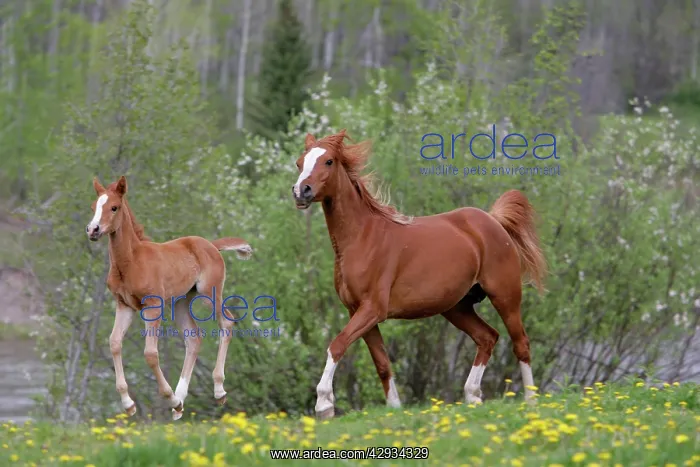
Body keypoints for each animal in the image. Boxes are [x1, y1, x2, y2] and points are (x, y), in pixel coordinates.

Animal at [86, 176, 253, 420]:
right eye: (94, 207)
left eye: (114, 207)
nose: (93, 230)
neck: (130, 262)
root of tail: (212, 245)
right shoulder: (124, 305)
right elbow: (115, 343)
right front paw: (129, 404)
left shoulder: (153, 305)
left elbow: (150, 353)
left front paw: (168, 397)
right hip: (180, 302)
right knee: (194, 337)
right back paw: (180, 401)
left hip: (209, 294)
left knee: (227, 322)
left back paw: (217, 390)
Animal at [291, 130, 547, 419]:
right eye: (300, 162)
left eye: (329, 161)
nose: (301, 191)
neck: (362, 239)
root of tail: (493, 221)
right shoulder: (357, 311)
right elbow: (382, 364)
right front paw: (394, 409)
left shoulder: (372, 309)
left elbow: (337, 344)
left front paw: (324, 404)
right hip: (457, 307)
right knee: (488, 337)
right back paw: (472, 396)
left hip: (505, 296)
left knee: (520, 343)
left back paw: (531, 402)